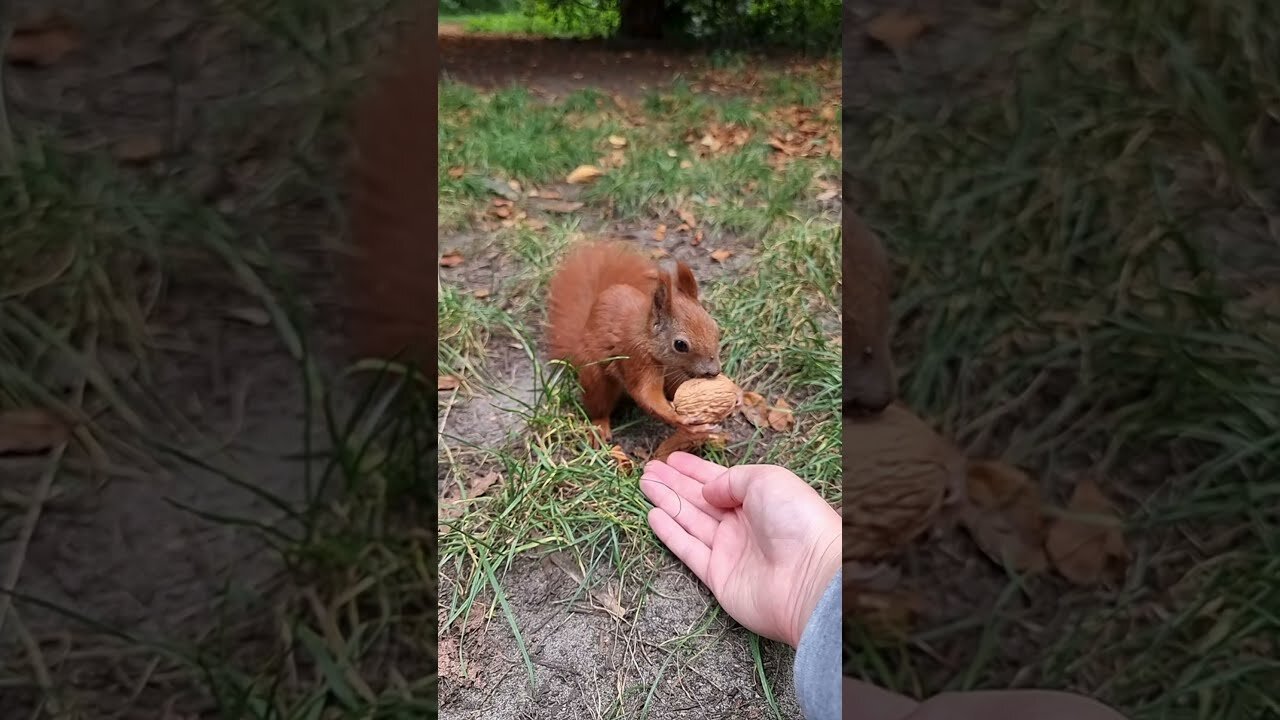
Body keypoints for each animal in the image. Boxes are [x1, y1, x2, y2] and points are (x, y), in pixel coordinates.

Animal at [547, 240, 727, 443]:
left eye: (715, 327)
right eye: (680, 345)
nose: (714, 371)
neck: (646, 337)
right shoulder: (635, 356)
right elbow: (645, 394)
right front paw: (680, 419)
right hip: (595, 377)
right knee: (598, 404)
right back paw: (599, 426)